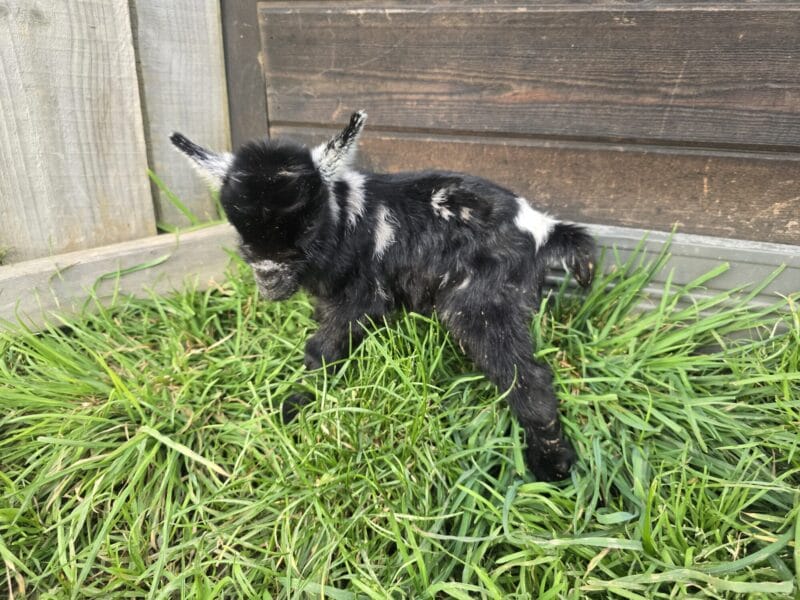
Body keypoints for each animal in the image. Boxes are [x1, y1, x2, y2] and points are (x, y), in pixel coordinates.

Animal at [171, 112, 595, 481]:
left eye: (306, 227)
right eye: (240, 230)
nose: (269, 280)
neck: (343, 220)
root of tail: (542, 229)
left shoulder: (362, 296)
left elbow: (322, 348)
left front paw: (296, 404)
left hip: (480, 301)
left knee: (524, 374)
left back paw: (552, 464)